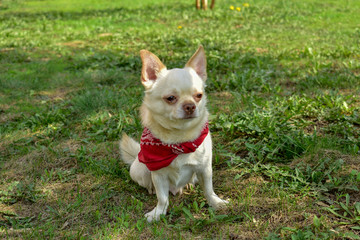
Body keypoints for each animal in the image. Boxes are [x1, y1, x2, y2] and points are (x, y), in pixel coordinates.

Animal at [120, 45, 228, 221]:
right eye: (170, 98)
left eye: (199, 96)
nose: (190, 105)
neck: (179, 140)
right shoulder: (158, 175)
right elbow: (162, 198)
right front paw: (158, 213)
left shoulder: (205, 169)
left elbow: (209, 189)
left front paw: (216, 203)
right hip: (140, 169)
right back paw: (151, 189)